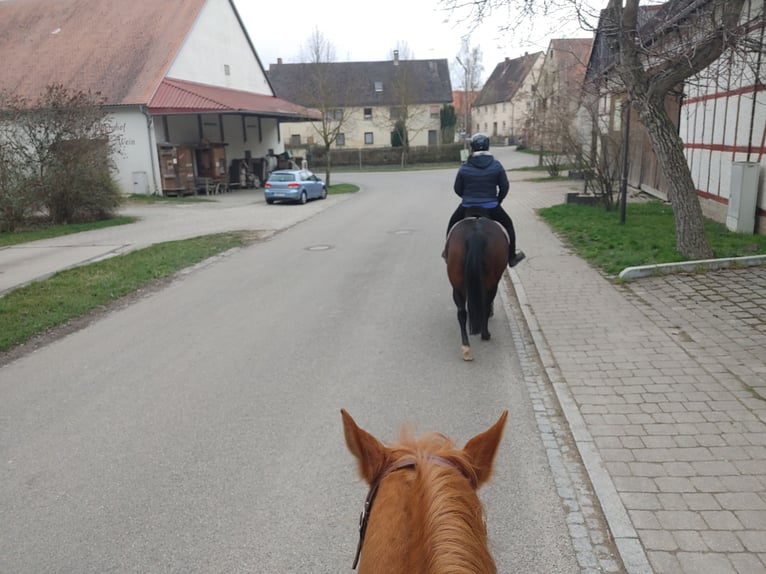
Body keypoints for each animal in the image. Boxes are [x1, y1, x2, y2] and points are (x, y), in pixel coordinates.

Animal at [445, 214, 510, 361]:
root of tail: (476, 232)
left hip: (457, 286)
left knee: (461, 313)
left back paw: (466, 348)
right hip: (492, 283)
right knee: (484, 305)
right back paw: (485, 334)